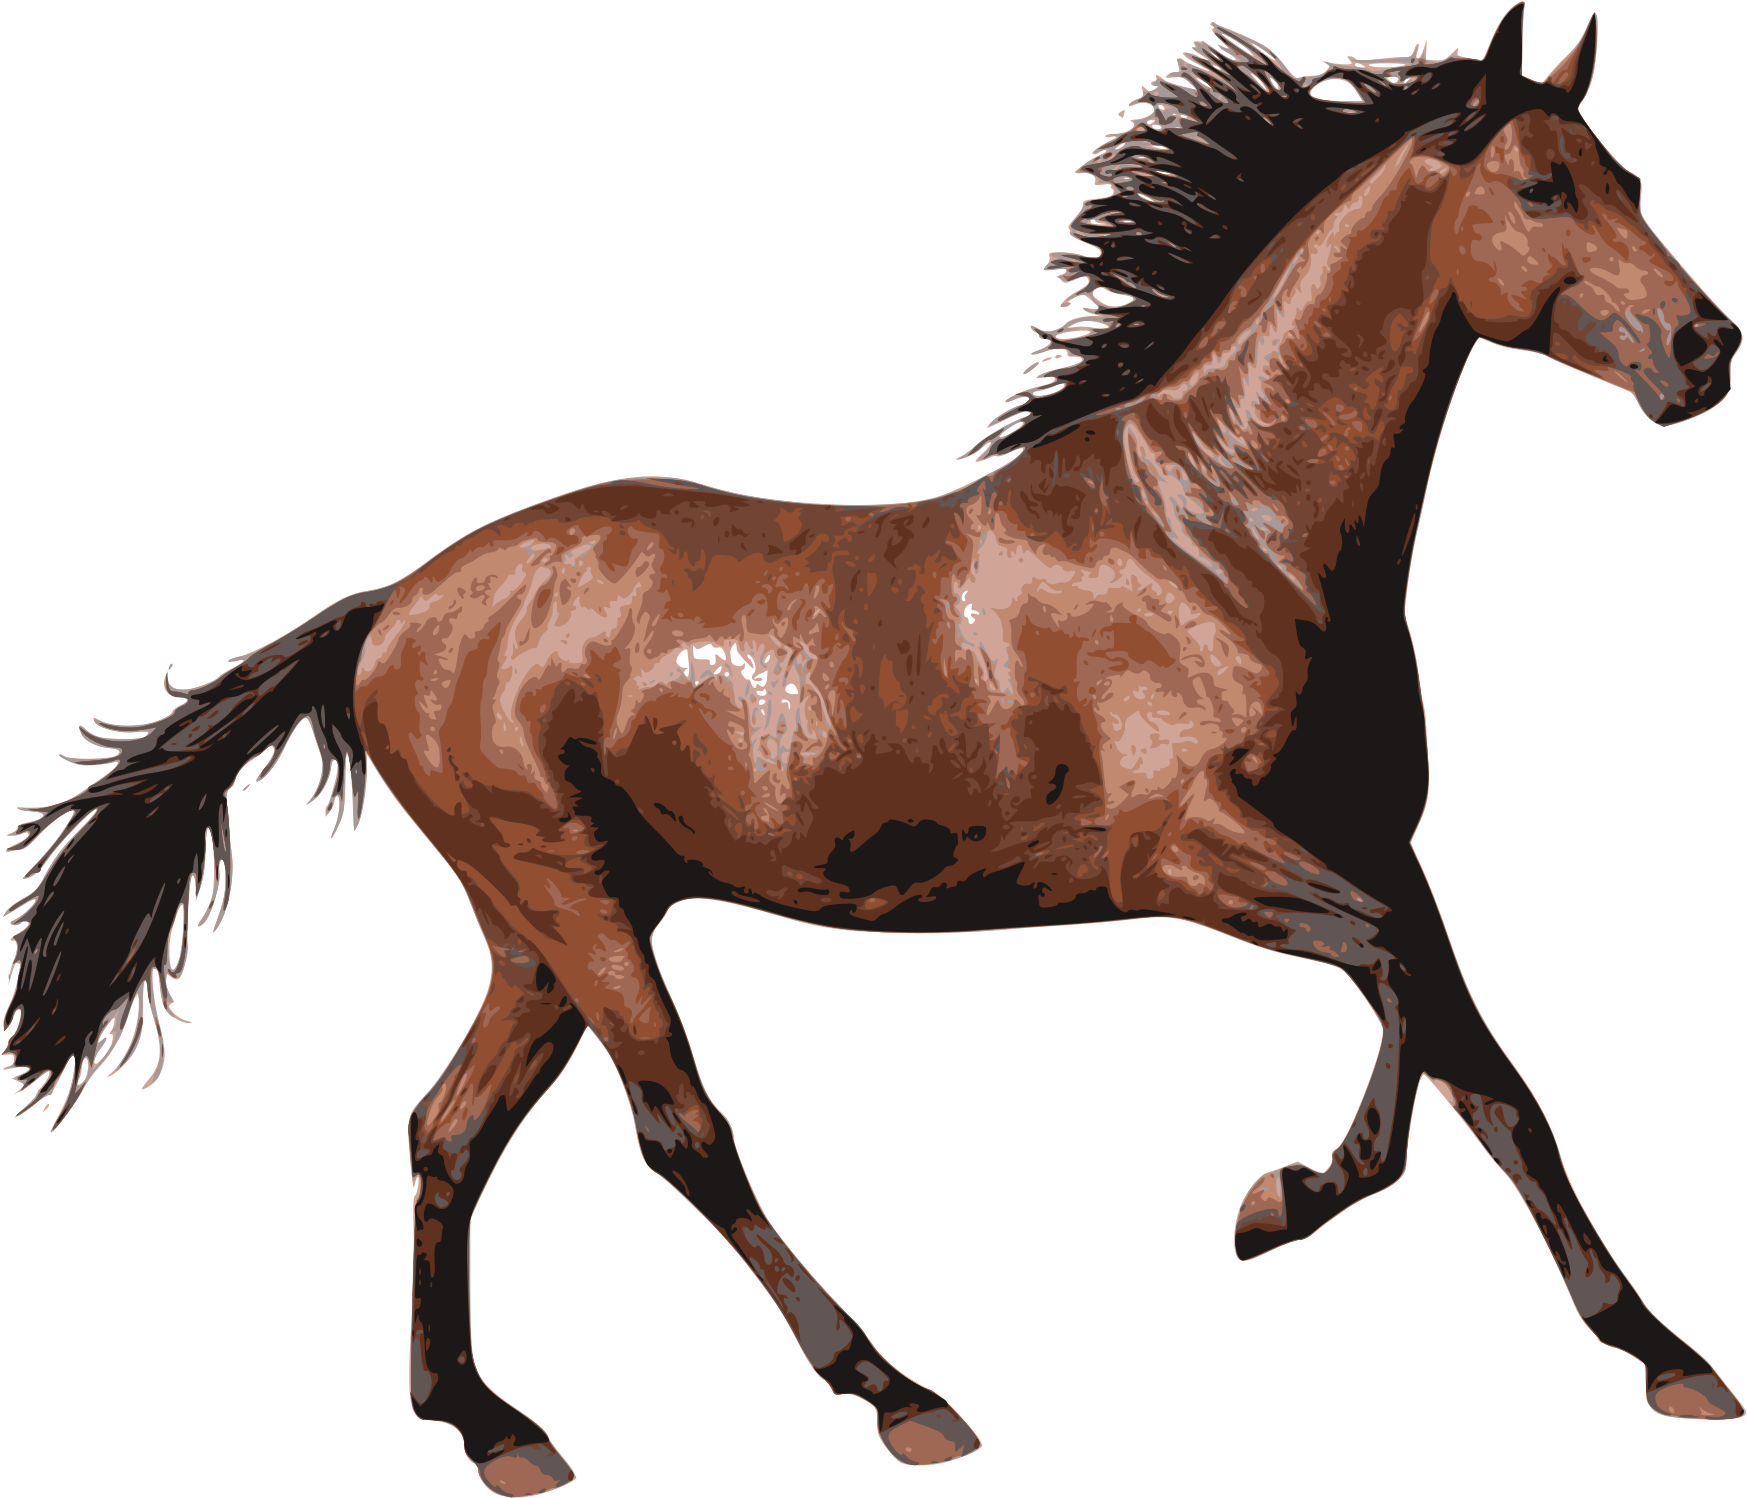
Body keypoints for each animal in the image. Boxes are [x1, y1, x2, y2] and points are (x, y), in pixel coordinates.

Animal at [8, 8, 1741, 1490]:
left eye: (1633, 181)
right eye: (1537, 185)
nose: (1704, 348)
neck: (1225, 532)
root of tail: (397, 604)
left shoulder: (1379, 846)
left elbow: (1490, 1072)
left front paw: (1668, 1359)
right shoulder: (1182, 850)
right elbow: (1386, 987)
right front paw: (1274, 1203)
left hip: (538, 928)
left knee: (447, 1129)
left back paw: (492, 1429)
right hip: (566, 897)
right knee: (678, 1132)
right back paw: (898, 1397)